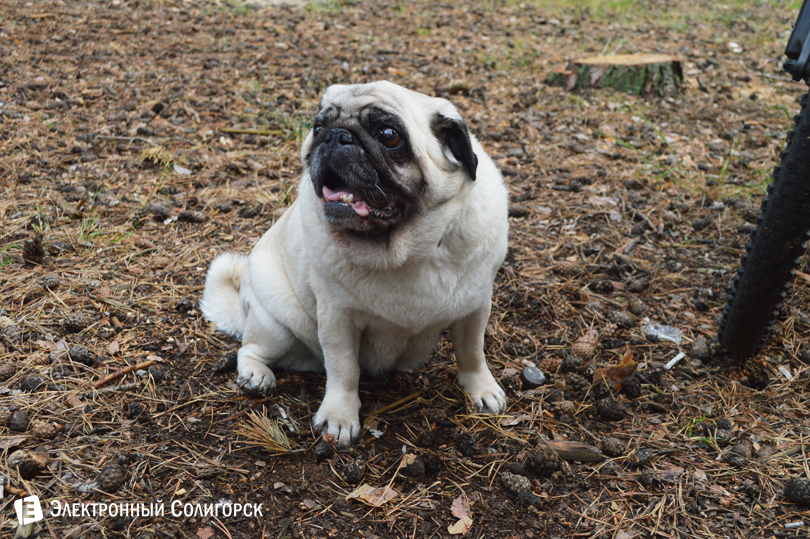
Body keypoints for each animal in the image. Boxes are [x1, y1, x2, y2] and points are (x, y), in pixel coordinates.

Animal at [202, 79, 504, 442]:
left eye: (389, 135)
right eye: (318, 128)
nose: (335, 135)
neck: (405, 251)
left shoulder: (475, 306)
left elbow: (472, 352)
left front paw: (481, 389)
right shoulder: (337, 318)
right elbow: (344, 369)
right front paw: (339, 417)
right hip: (274, 323)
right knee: (249, 349)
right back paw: (256, 375)